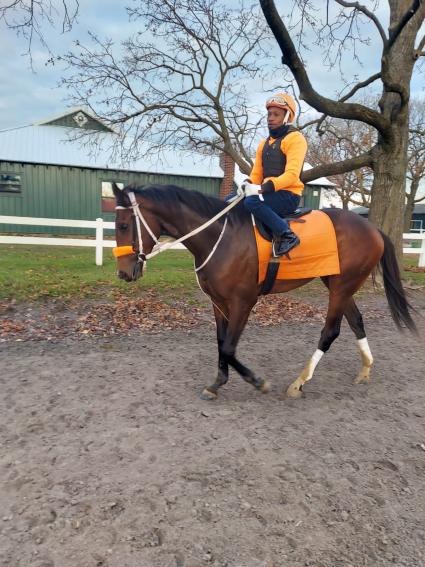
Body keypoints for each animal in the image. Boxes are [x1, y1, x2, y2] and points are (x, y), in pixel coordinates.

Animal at [111, 184, 416, 402]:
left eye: (124, 225)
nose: (123, 272)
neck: (221, 236)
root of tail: (373, 228)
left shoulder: (243, 302)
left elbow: (229, 347)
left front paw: (257, 381)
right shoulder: (218, 303)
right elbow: (221, 343)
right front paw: (217, 383)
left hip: (341, 287)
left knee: (330, 331)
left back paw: (299, 382)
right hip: (338, 284)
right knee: (357, 321)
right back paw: (365, 368)